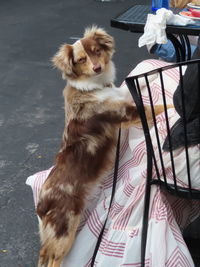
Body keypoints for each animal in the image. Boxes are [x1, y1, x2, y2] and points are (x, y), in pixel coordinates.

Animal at [36, 25, 167, 267]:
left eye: (97, 51)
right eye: (80, 59)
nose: (97, 68)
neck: (92, 87)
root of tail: (41, 202)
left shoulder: (120, 96)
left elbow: (132, 86)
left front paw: (152, 73)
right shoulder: (128, 113)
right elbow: (163, 105)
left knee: (43, 253)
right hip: (64, 231)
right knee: (53, 259)